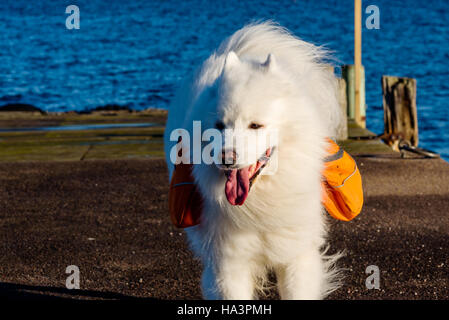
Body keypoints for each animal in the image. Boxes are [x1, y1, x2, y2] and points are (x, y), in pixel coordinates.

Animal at [163, 21, 342, 298]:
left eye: (255, 125)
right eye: (219, 125)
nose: (226, 157)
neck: (260, 203)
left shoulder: (296, 256)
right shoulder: (228, 263)